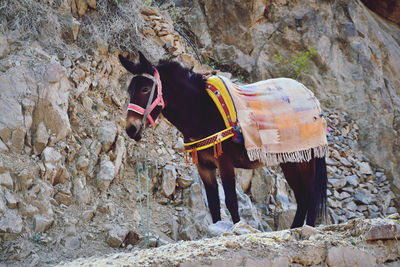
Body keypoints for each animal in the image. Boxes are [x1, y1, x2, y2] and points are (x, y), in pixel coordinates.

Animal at [119, 51, 328, 229]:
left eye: (145, 88)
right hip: (289, 160)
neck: (203, 113)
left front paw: (236, 227)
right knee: (302, 197)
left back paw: (307, 228)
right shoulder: (204, 166)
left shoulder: (225, 162)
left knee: (311, 195)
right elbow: (213, 203)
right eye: (129, 90)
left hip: (307, 158)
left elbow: (230, 201)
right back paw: (294, 228)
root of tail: (311, 97)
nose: (131, 129)